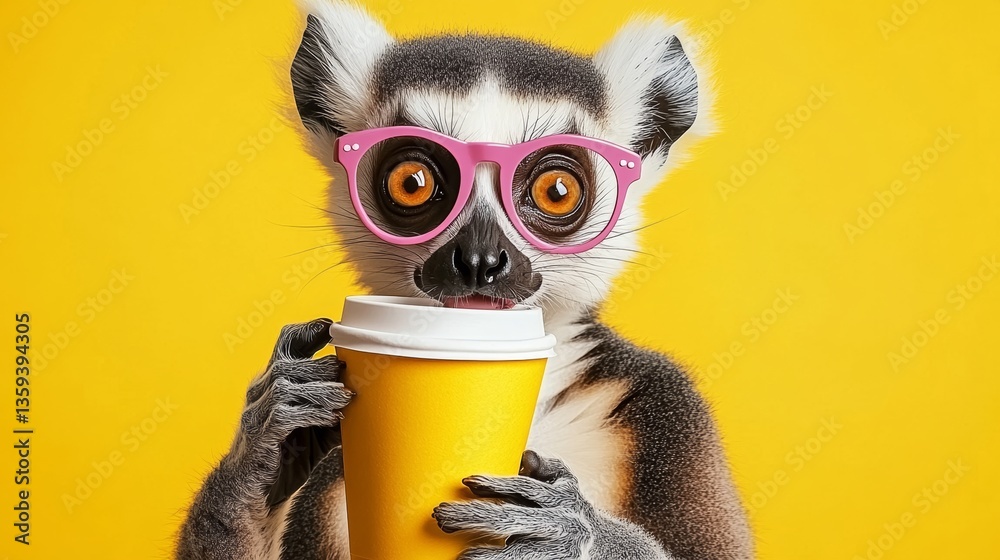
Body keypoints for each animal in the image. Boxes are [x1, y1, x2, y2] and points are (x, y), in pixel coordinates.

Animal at [176, 1, 753, 558]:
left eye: (557, 190)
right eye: (411, 182)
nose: (479, 260)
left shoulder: (668, 418)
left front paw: (573, 530)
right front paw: (265, 449)